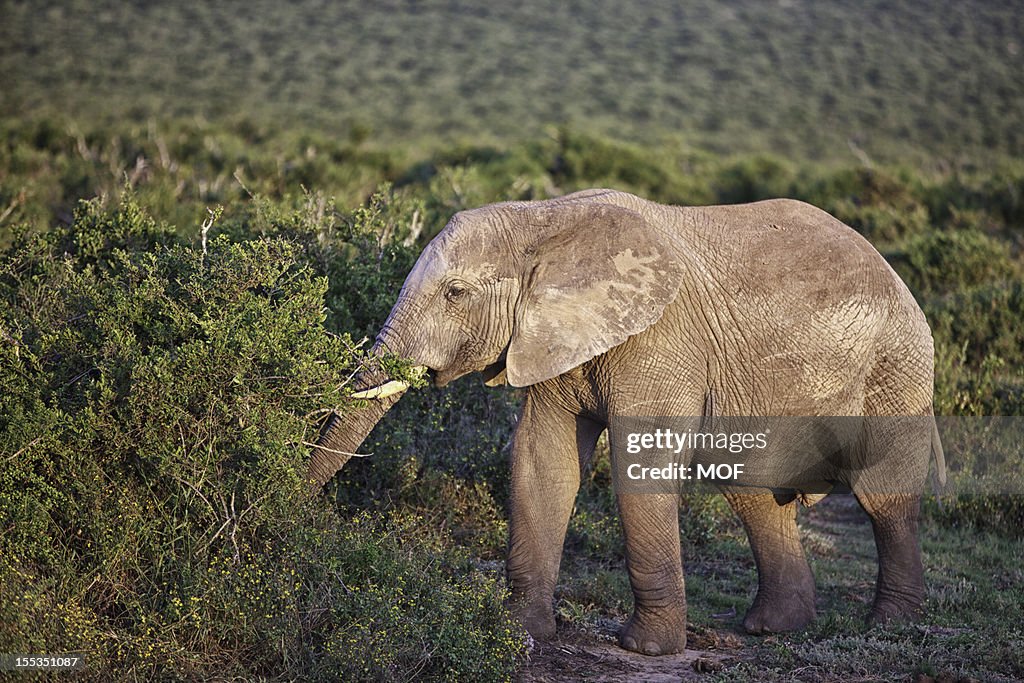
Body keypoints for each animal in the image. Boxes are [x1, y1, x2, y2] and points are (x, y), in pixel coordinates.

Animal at [307, 187, 946, 655]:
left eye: (456, 294)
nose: (297, 509)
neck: (543, 222)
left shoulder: (659, 339)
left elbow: (641, 460)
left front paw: (645, 649)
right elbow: (543, 458)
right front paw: (519, 633)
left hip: (896, 368)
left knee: (882, 498)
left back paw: (887, 627)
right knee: (751, 492)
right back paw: (772, 629)